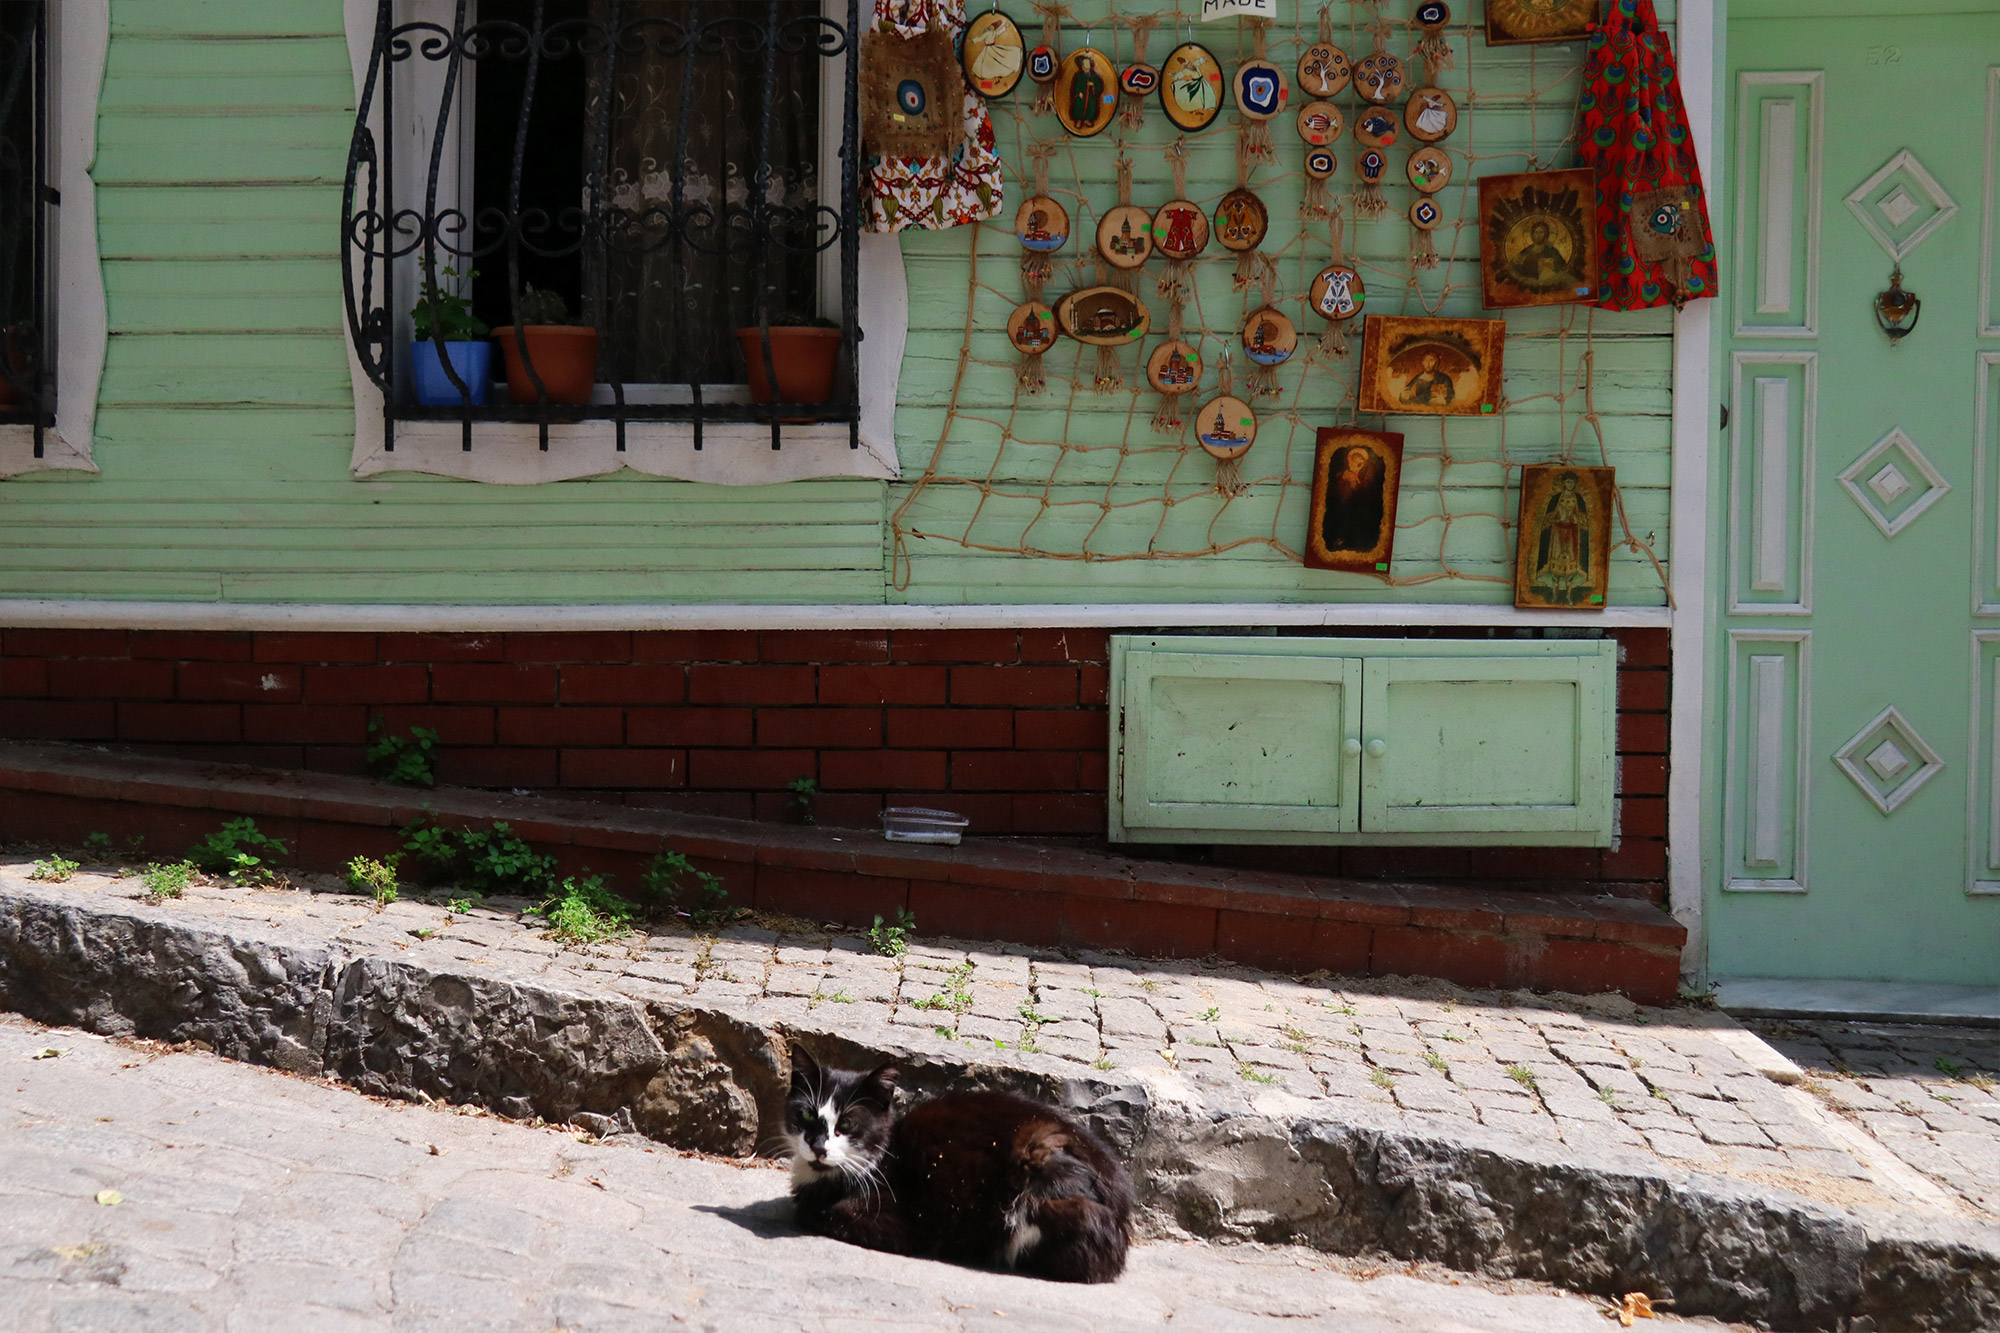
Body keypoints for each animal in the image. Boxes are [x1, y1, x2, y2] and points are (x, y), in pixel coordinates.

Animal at [780, 1040, 1136, 1280]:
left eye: (848, 1123)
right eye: (807, 1114)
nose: (818, 1146)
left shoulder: (900, 1219)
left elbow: (823, 1212)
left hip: (1038, 1161)